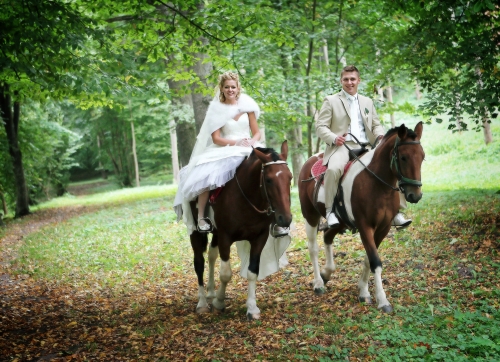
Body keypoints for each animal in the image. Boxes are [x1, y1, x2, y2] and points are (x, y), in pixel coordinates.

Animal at [190, 141, 292, 320]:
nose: (285, 219)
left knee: (211, 256)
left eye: (290, 177)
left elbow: (252, 271)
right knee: (199, 262)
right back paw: (202, 303)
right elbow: (225, 273)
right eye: (269, 180)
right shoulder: (225, 237)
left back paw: (211, 291)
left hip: (216, 233)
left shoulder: (259, 238)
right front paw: (219, 303)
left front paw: (252, 308)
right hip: (195, 230)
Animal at [298, 123, 424, 312]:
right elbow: (375, 261)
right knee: (313, 248)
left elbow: (368, 259)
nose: (415, 195)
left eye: (422, 157)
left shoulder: (383, 228)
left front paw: (363, 292)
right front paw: (383, 300)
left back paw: (327, 272)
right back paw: (319, 283)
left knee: (327, 236)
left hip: (340, 223)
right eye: (403, 157)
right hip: (310, 216)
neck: (377, 184)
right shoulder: (365, 226)